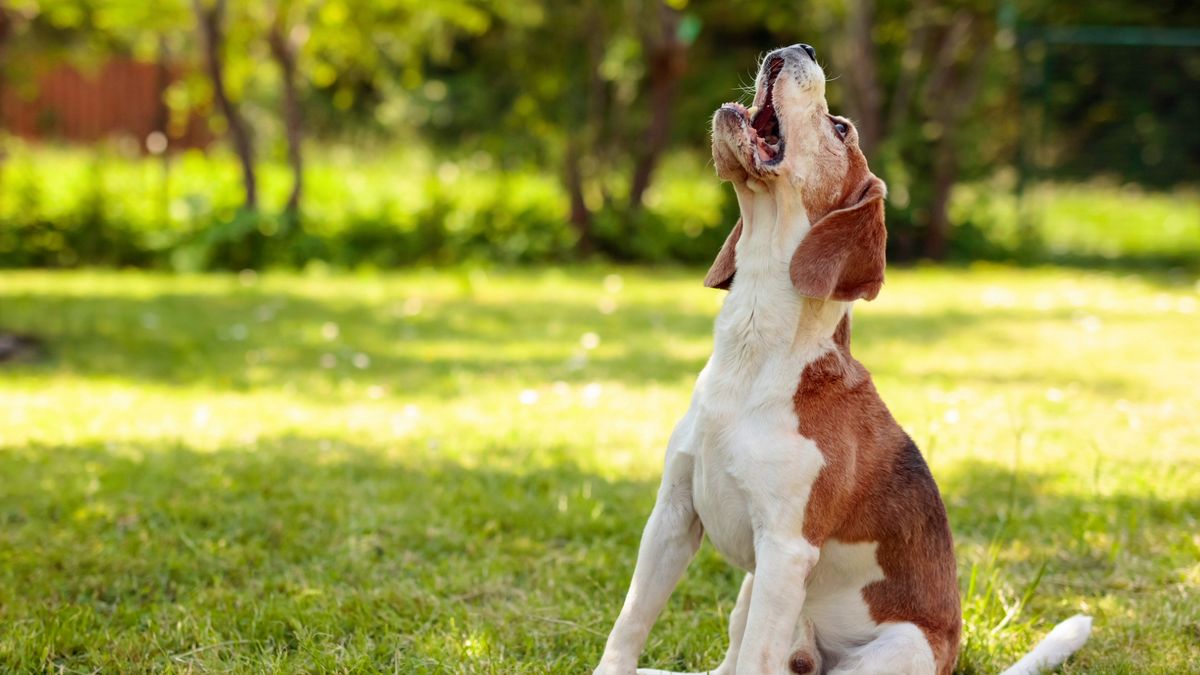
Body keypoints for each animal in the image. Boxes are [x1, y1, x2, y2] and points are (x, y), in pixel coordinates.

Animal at [590, 44, 1089, 667]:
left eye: (841, 128)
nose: (799, 48)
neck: (752, 352)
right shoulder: (673, 516)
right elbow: (629, 625)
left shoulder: (785, 550)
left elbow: (754, 659)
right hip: (749, 591)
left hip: (889, 645)